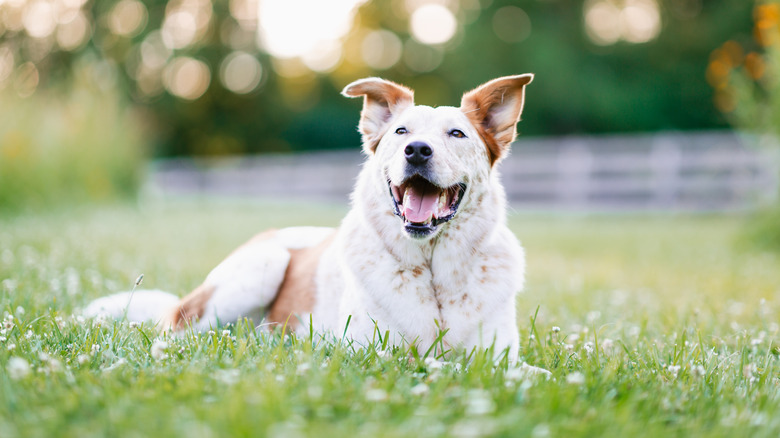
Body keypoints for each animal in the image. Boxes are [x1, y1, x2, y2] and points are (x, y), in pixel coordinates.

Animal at [87, 75, 536, 362]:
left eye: (456, 134)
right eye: (401, 132)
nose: (417, 150)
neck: (433, 272)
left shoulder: (502, 357)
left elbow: (526, 372)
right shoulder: (369, 352)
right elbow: (440, 365)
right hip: (258, 269)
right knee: (172, 331)